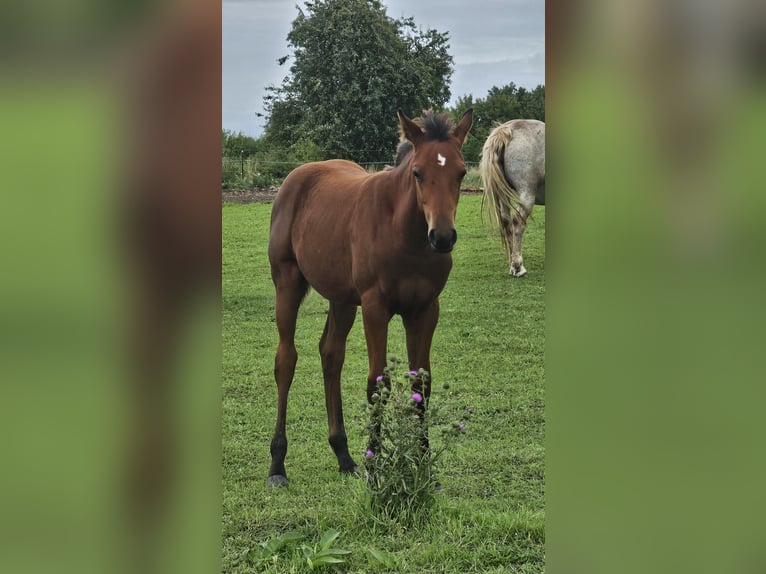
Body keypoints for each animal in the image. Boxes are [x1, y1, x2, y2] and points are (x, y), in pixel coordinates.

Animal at [266, 108, 473, 487]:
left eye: (461, 172)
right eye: (418, 172)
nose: (442, 237)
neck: (405, 235)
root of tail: (298, 175)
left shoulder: (425, 309)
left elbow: (421, 383)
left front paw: (424, 467)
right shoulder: (376, 308)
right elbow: (378, 382)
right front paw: (377, 464)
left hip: (343, 299)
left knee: (331, 354)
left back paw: (344, 455)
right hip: (287, 283)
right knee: (286, 359)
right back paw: (277, 465)